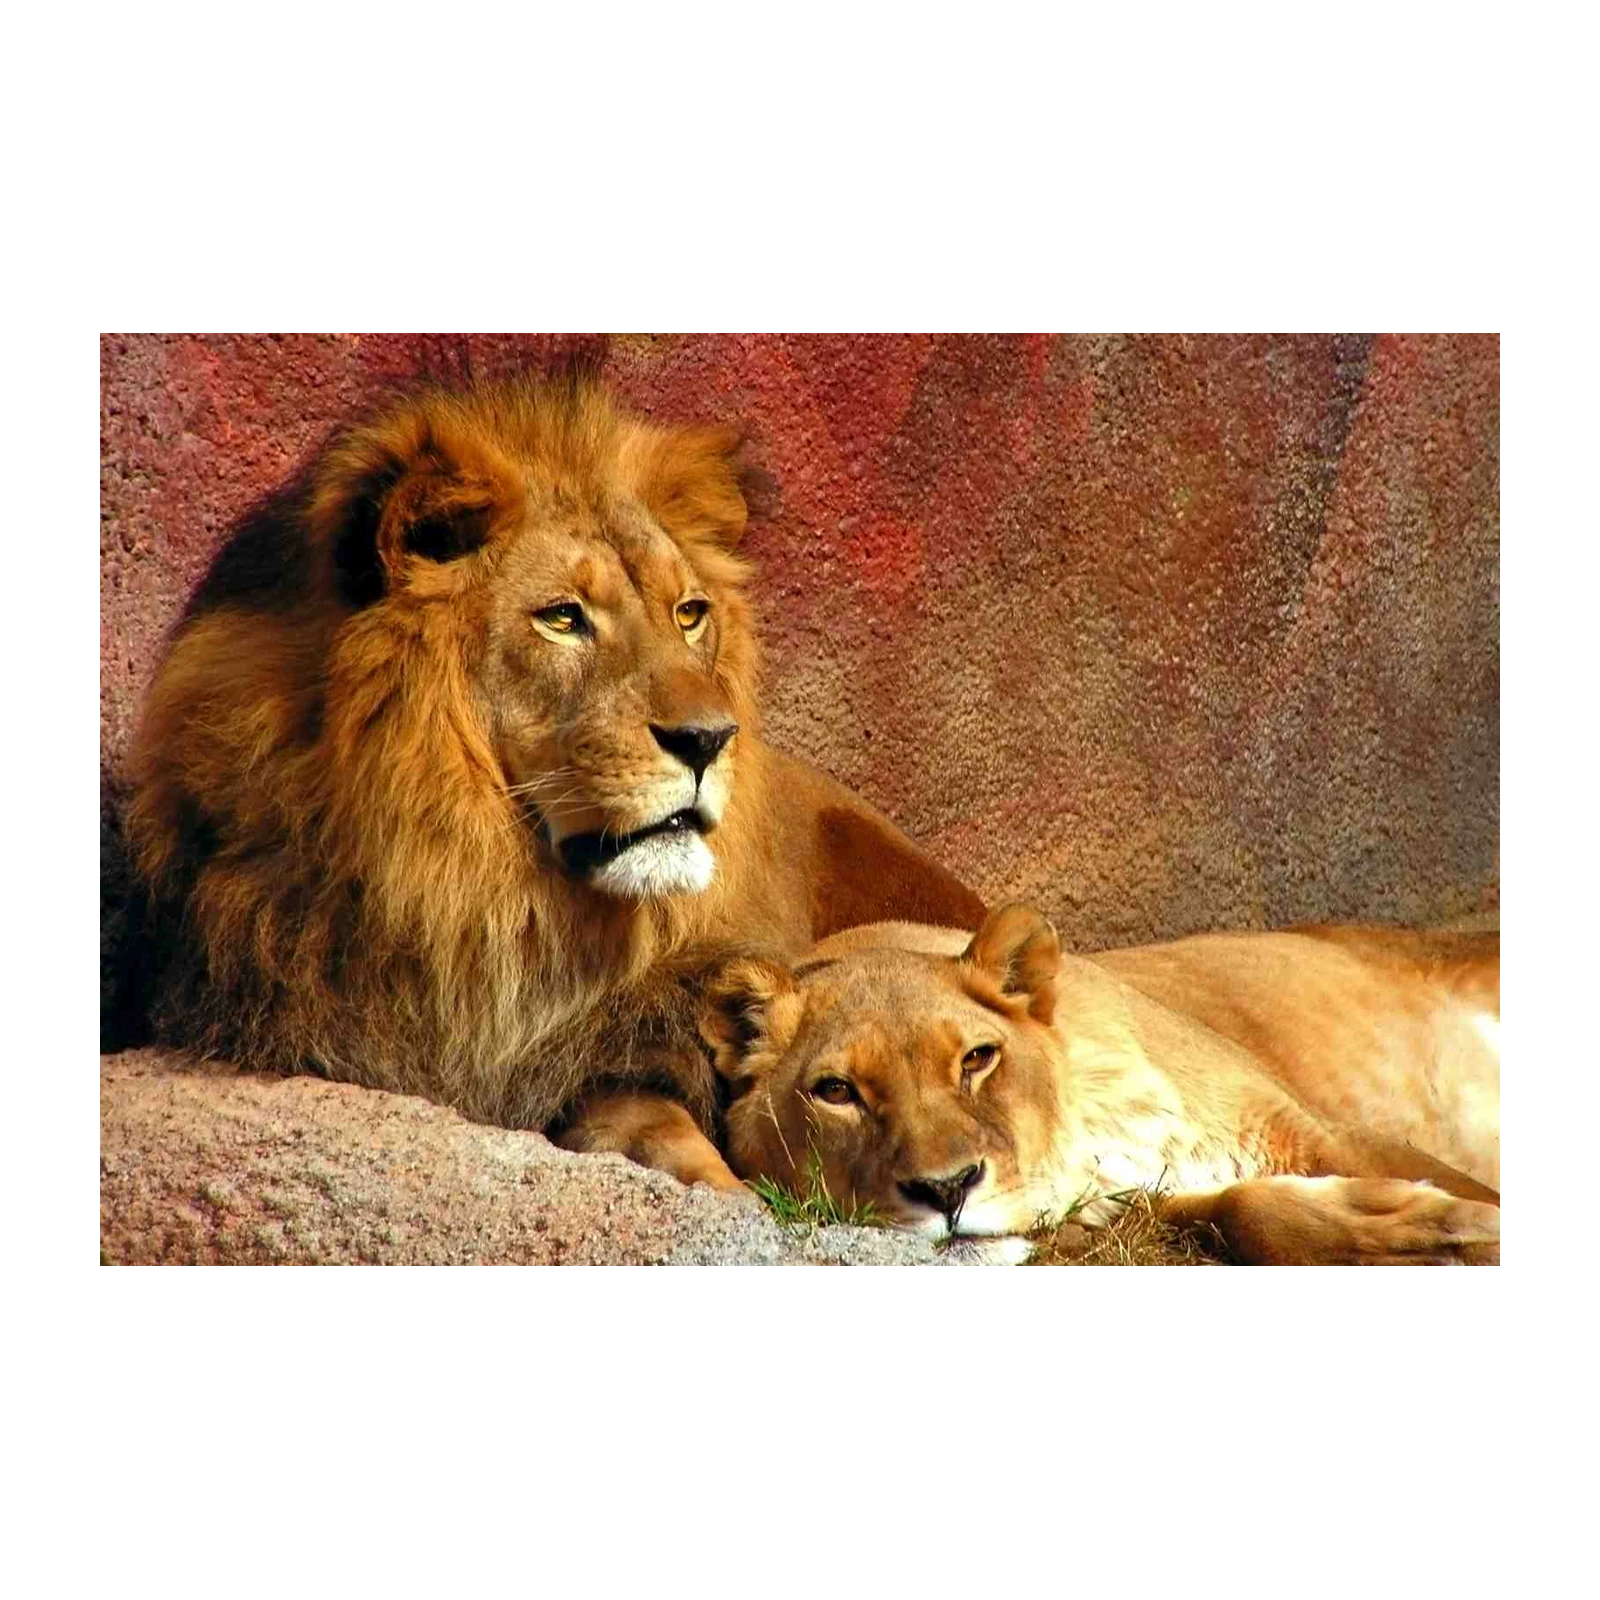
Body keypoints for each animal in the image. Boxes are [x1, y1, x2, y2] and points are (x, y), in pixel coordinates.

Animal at [700, 906, 1504, 1265]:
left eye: (976, 1059)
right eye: (837, 1092)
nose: (947, 1189)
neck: (1096, 1126)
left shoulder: (1309, 1127)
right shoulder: (1137, 1204)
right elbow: (1241, 1210)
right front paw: (1419, 1240)